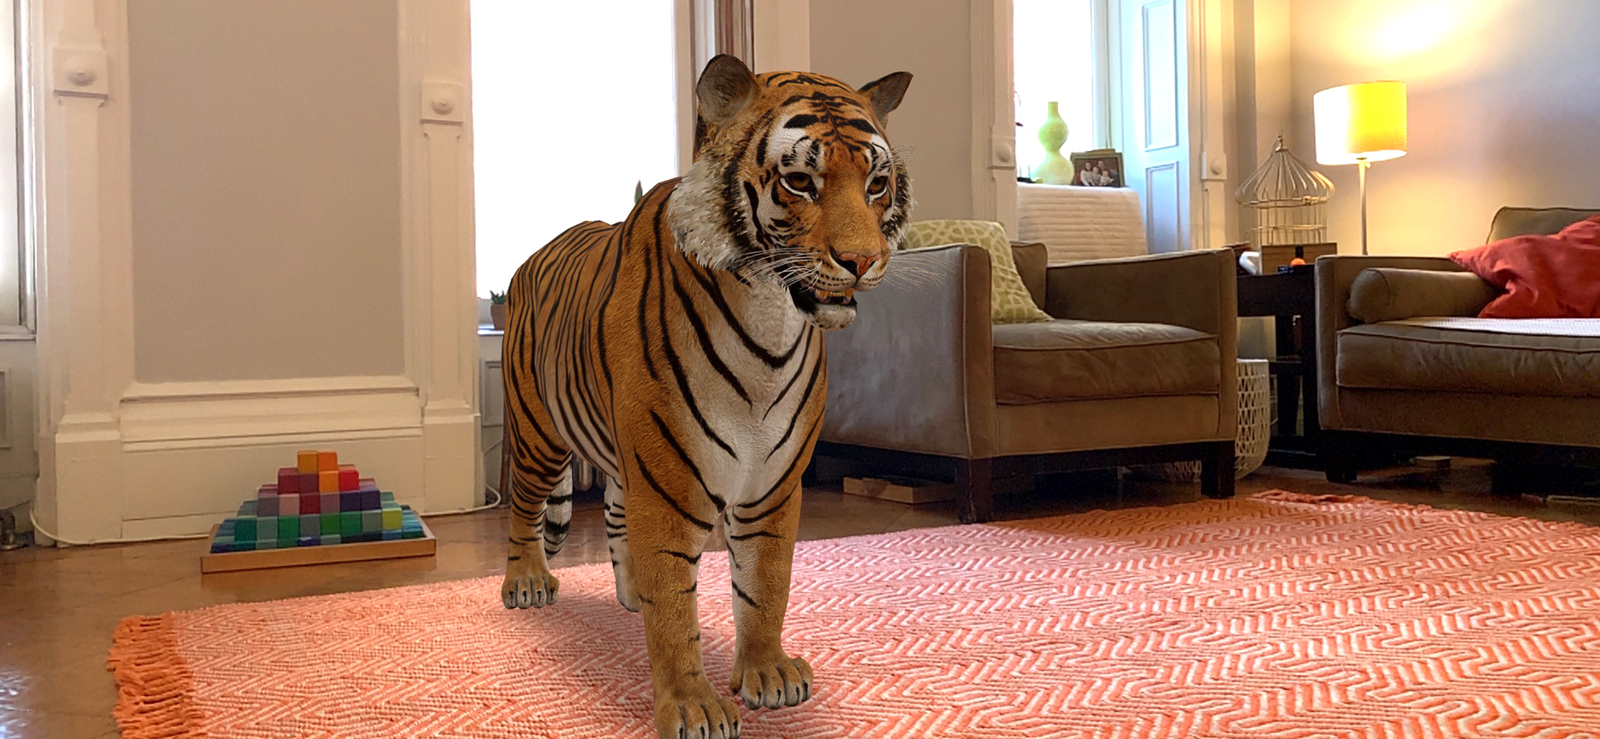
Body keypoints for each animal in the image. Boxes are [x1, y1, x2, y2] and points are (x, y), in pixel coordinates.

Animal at [499, 53, 915, 739]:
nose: (863, 260)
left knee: (613, 508)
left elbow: (767, 582)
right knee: (524, 509)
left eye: (876, 184)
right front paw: (691, 704)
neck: (770, 320)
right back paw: (526, 581)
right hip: (539, 434)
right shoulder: (666, 482)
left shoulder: (773, 482)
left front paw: (767, 673)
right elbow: (674, 605)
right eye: (800, 182)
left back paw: (629, 591)